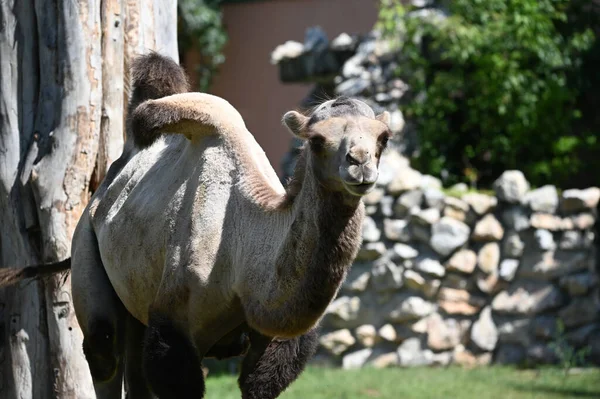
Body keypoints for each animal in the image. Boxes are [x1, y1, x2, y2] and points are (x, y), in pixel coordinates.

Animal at [1, 54, 394, 399]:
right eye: (316, 140)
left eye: (383, 137)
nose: (360, 163)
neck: (243, 255)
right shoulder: (174, 331)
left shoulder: (273, 344)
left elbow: (259, 383)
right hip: (86, 248)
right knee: (104, 351)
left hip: (136, 305)